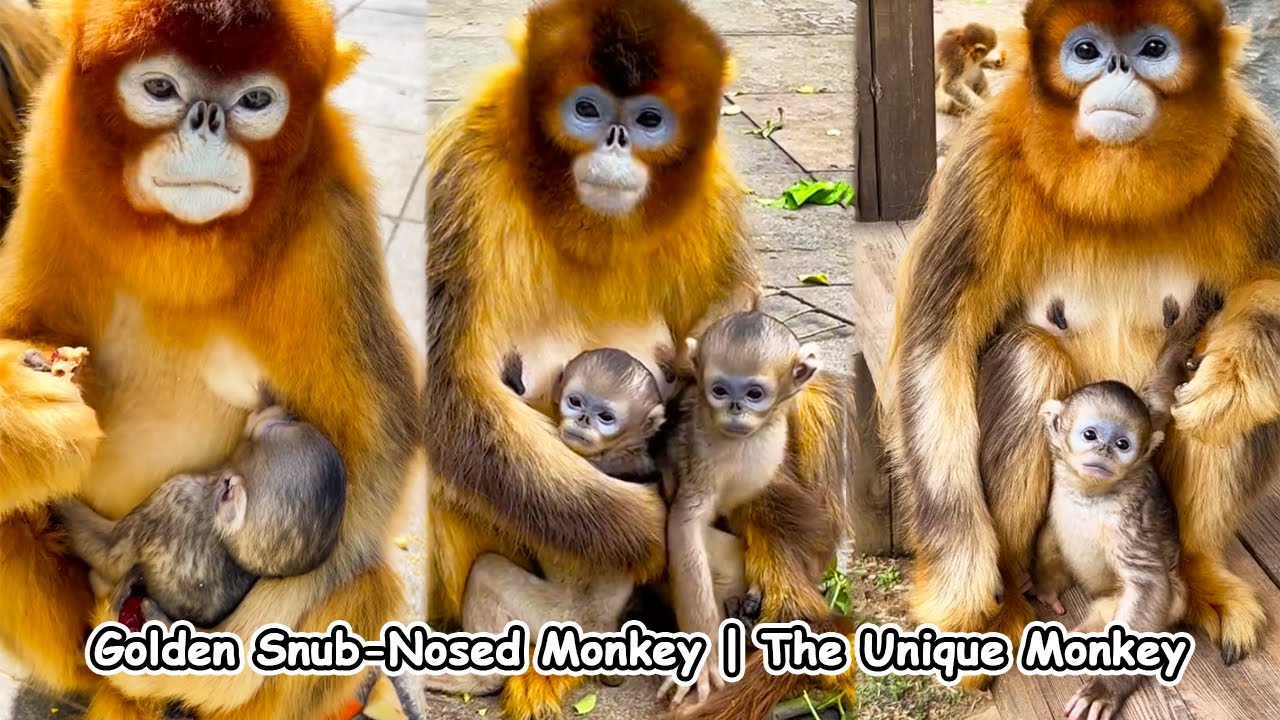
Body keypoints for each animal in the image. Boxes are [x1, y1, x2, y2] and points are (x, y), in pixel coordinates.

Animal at [55, 402, 346, 628]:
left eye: (268, 429)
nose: (287, 411)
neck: (226, 537)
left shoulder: (175, 494)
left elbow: (110, 555)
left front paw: (58, 502)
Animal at [657, 311, 819, 706]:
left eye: (754, 394)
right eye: (719, 390)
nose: (735, 409)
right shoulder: (700, 455)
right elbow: (685, 524)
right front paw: (701, 661)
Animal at [881, 0, 1280, 683]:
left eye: (1153, 48)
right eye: (1086, 52)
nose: (1118, 67)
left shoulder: (1252, 152)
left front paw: (1235, 373)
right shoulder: (982, 163)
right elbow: (937, 348)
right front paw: (962, 584)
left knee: (1218, 401)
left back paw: (1201, 568)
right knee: (1028, 357)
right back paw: (1012, 592)